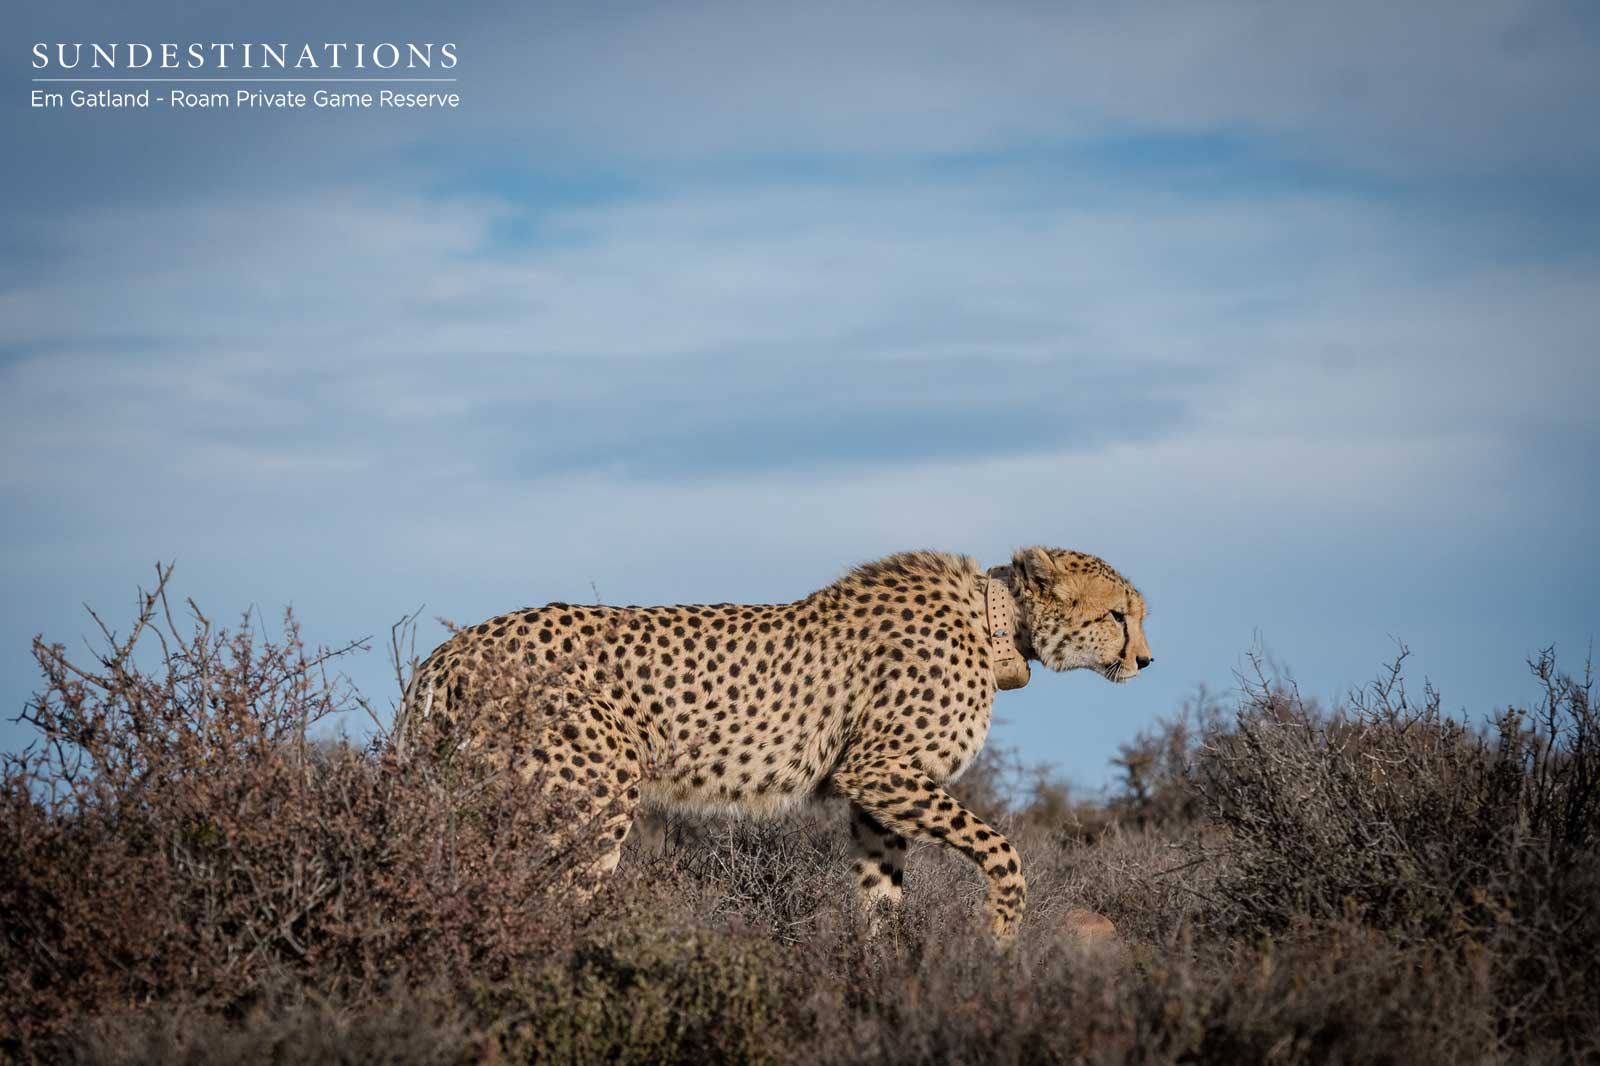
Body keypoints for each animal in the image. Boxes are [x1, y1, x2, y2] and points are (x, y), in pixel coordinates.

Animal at [402, 546, 1153, 943]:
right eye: (1120, 614)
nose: (1146, 661)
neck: (996, 624)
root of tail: (453, 646)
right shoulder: (878, 770)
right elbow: (1002, 849)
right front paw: (1001, 938)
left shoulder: (876, 794)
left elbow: (880, 889)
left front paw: (879, 969)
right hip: (590, 794)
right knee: (550, 900)